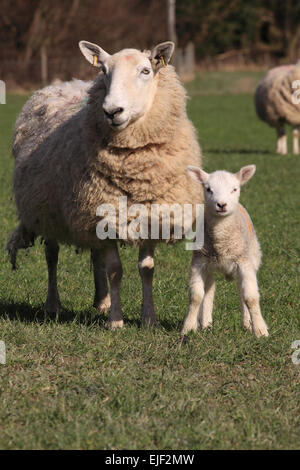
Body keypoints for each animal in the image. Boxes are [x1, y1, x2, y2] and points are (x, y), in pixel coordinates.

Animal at [7, 41, 203, 326]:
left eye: (146, 70)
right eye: (103, 71)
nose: (112, 111)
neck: (134, 173)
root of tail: (66, 84)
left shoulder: (149, 215)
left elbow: (146, 269)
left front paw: (148, 319)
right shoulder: (103, 212)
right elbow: (115, 270)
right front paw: (116, 322)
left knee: (94, 252)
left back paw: (102, 301)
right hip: (49, 209)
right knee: (52, 255)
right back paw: (53, 305)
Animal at [182, 165, 268, 338]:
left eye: (234, 189)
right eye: (208, 189)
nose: (221, 205)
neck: (221, 241)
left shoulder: (244, 263)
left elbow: (250, 297)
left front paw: (260, 330)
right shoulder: (198, 262)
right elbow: (196, 296)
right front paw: (188, 328)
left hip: (252, 256)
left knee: (241, 292)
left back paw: (247, 324)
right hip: (209, 265)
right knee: (209, 290)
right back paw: (206, 324)